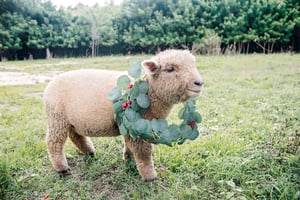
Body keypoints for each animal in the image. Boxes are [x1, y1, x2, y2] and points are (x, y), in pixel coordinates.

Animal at [43, 49, 203, 181]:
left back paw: (89, 151)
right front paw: (150, 177)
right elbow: (144, 151)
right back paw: (62, 168)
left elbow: (129, 145)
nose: (199, 83)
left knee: (75, 135)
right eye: (170, 69)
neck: (150, 92)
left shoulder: (130, 126)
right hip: (57, 117)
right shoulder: (138, 126)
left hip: (69, 120)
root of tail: (49, 85)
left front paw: (128, 160)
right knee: (54, 142)